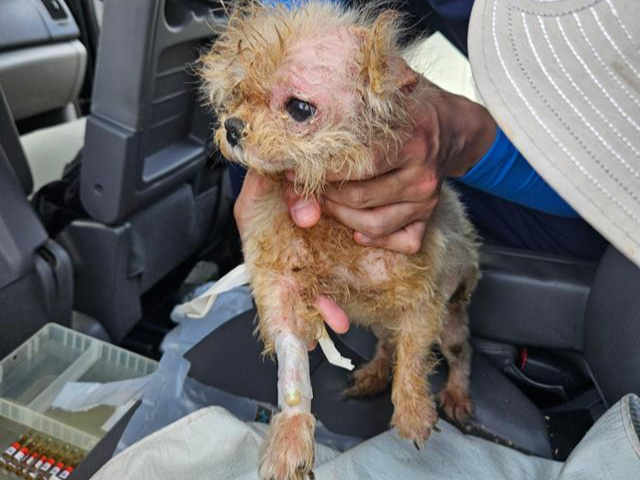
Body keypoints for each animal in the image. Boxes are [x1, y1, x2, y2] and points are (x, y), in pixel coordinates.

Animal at [202, 1, 478, 478]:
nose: (232, 128)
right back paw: (372, 373)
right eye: (240, 92)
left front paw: (411, 410)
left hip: (450, 320)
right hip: (377, 318)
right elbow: (293, 367)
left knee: (459, 353)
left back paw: (457, 394)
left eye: (298, 108)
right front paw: (291, 438)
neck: (330, 224)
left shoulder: (422, 299)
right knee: (386, 343)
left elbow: (413, 356)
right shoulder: (282, 286)